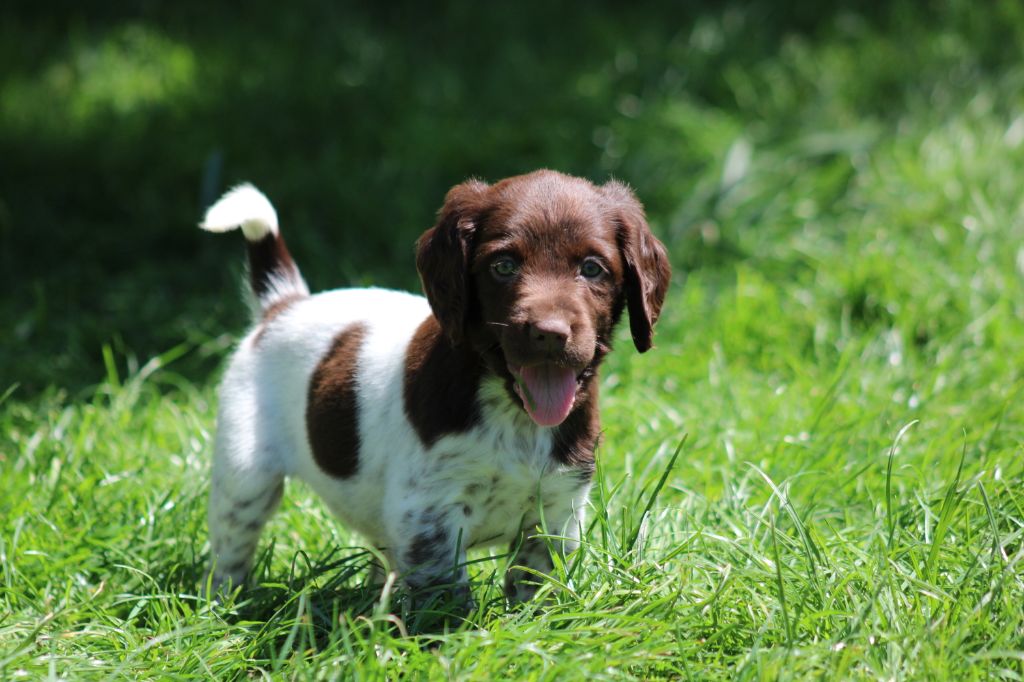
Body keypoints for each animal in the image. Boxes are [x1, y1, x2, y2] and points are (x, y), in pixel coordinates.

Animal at [199, 171, 671, 606]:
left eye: (592, 268)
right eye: (504, 266)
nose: (549, 334)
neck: (512, 414)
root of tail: (284, 303)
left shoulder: (558, 508)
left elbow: (535, 585)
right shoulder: (429, 512)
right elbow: (445, 595)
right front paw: (452, 635)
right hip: (245, 475)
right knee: (231, 549)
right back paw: (223, 606)